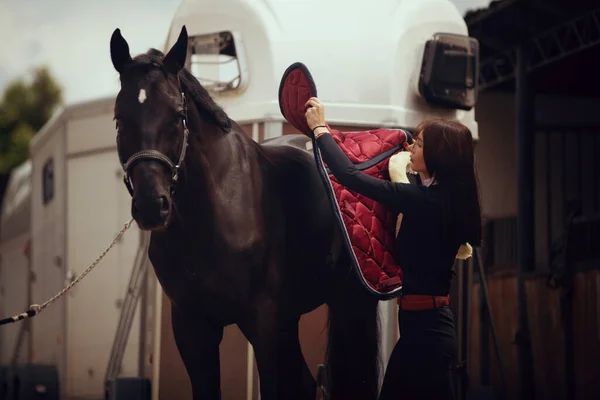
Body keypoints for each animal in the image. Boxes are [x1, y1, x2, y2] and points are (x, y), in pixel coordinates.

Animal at [109, 26, 380, 398]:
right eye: (119, 119)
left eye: (178, 115)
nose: (152, 204)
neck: (212, 218)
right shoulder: (193, 329)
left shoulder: (263, 324)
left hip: (349, 302)